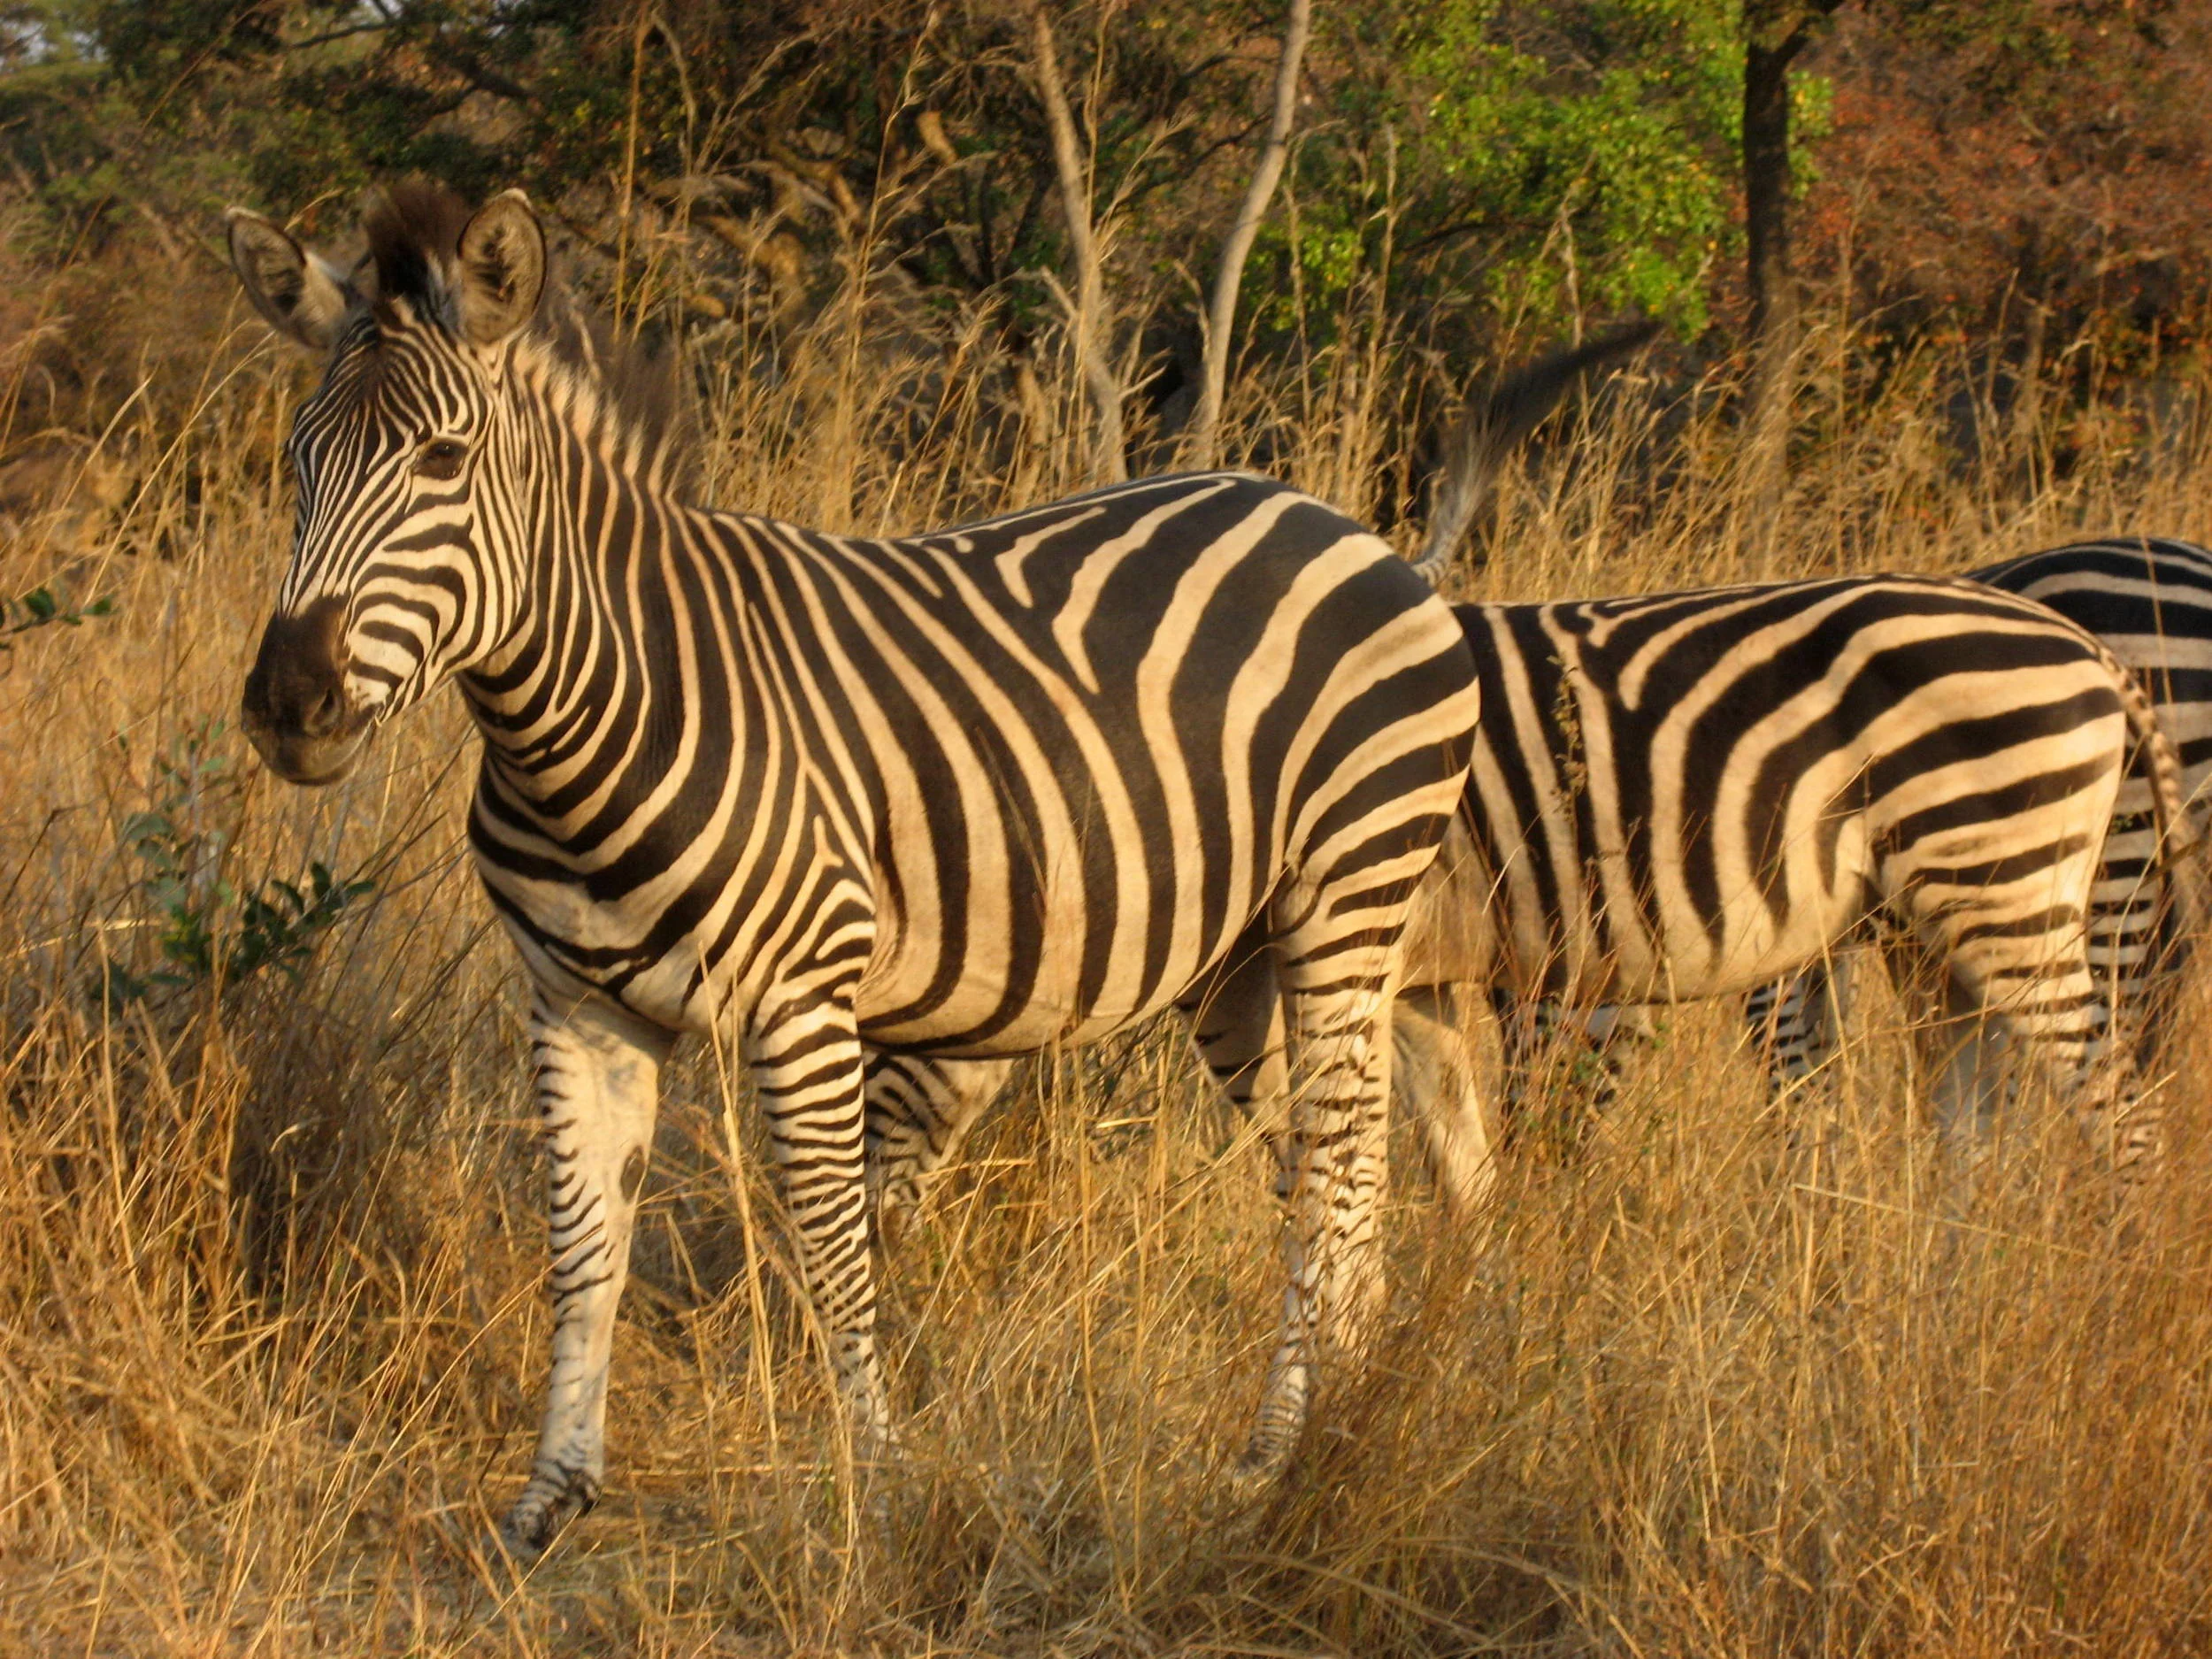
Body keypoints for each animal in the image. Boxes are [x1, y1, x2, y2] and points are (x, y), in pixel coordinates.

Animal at [224, 182, 1482, 1555]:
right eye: (295, 466)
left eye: (443, 463)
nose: (289, 703)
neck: (589, 710)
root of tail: (1340, 523)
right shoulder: (574, 1005)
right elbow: (585, 1248)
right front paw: (551, 1496)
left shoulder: (802, 998)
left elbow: (833, 1245)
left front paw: (875, 1488)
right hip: (1238, 961)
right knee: (1322, 1168)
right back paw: (1333, 1418)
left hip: (1343, 898)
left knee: (1345, 1166)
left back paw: (1284, 1451)